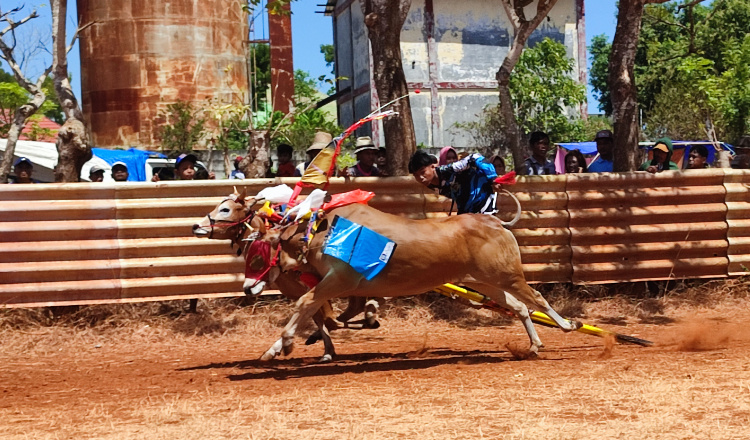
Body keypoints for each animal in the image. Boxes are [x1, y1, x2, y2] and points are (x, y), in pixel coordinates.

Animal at [232, 196, 584, 360]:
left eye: (258, 256)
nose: (248, 288)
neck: (321, 232)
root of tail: (496, 223)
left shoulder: (338, 280)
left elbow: (307, 305)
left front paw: (287, 343)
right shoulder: (333, 286)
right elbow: (320, 314)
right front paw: (277, 349)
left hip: (507, 275)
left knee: (536, 298)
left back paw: (568, 325)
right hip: (483, 281)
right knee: (520, 307)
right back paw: (534, 344)